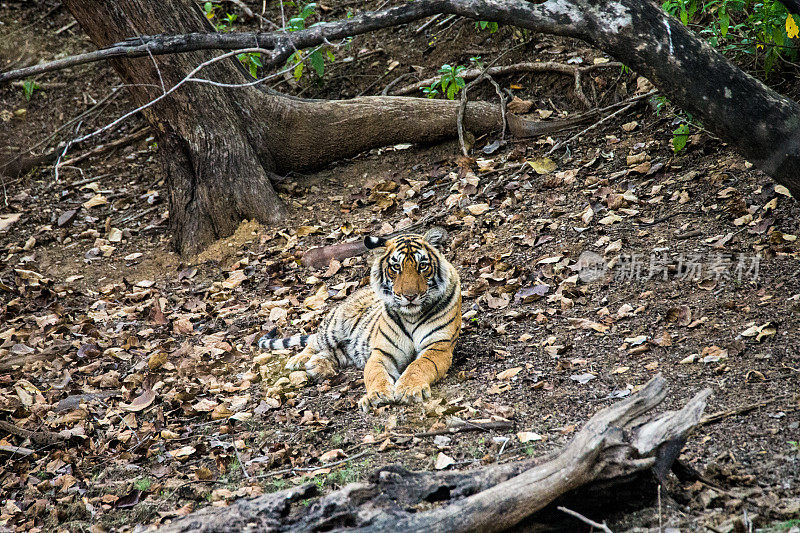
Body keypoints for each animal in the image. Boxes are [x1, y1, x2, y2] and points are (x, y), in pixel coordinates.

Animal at [260, 229, 460, 412]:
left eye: (422, 266)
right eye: (396, 267)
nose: (410, 296)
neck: (411, 315)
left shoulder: (439, 346)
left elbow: (419, 366)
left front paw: (408, 389)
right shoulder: (382, 352)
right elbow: (376, 374)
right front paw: (376, 396)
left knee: (330, 353)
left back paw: (317, 367)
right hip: (333, 328)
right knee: (313, 343)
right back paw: (299, 360)